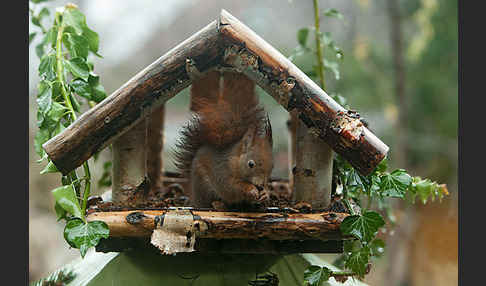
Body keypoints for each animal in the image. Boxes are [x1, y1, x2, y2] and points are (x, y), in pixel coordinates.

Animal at [175, 70, 274, 209]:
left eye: (272, 166)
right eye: (250, 164)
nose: (259, 185)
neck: (235, 161)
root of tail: (193, 195)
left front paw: (265, 193)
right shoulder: (222, 173)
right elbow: (232, 187)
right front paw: (251, 189)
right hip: (203, 185)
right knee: (206, 203)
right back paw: (218, 204)